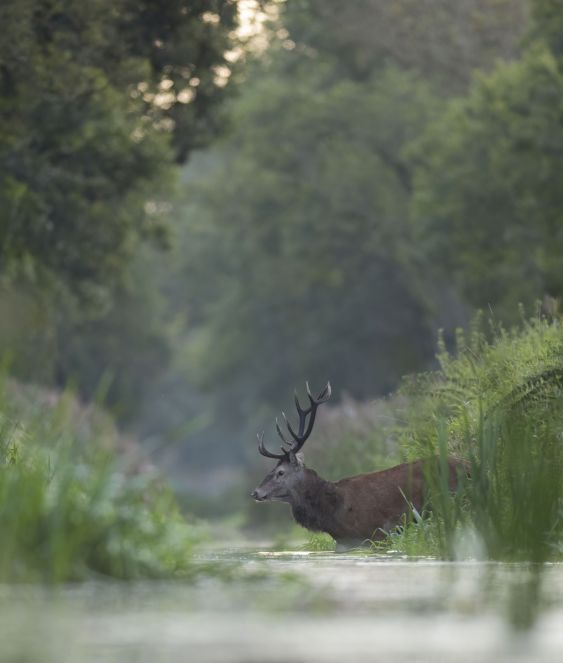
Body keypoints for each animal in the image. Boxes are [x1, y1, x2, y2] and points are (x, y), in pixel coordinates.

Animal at [251, 382, 466, 549]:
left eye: (280, 472)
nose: (255, 492)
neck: (332, 512)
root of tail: (469, 464)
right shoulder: (344, 543)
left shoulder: (377, 533)